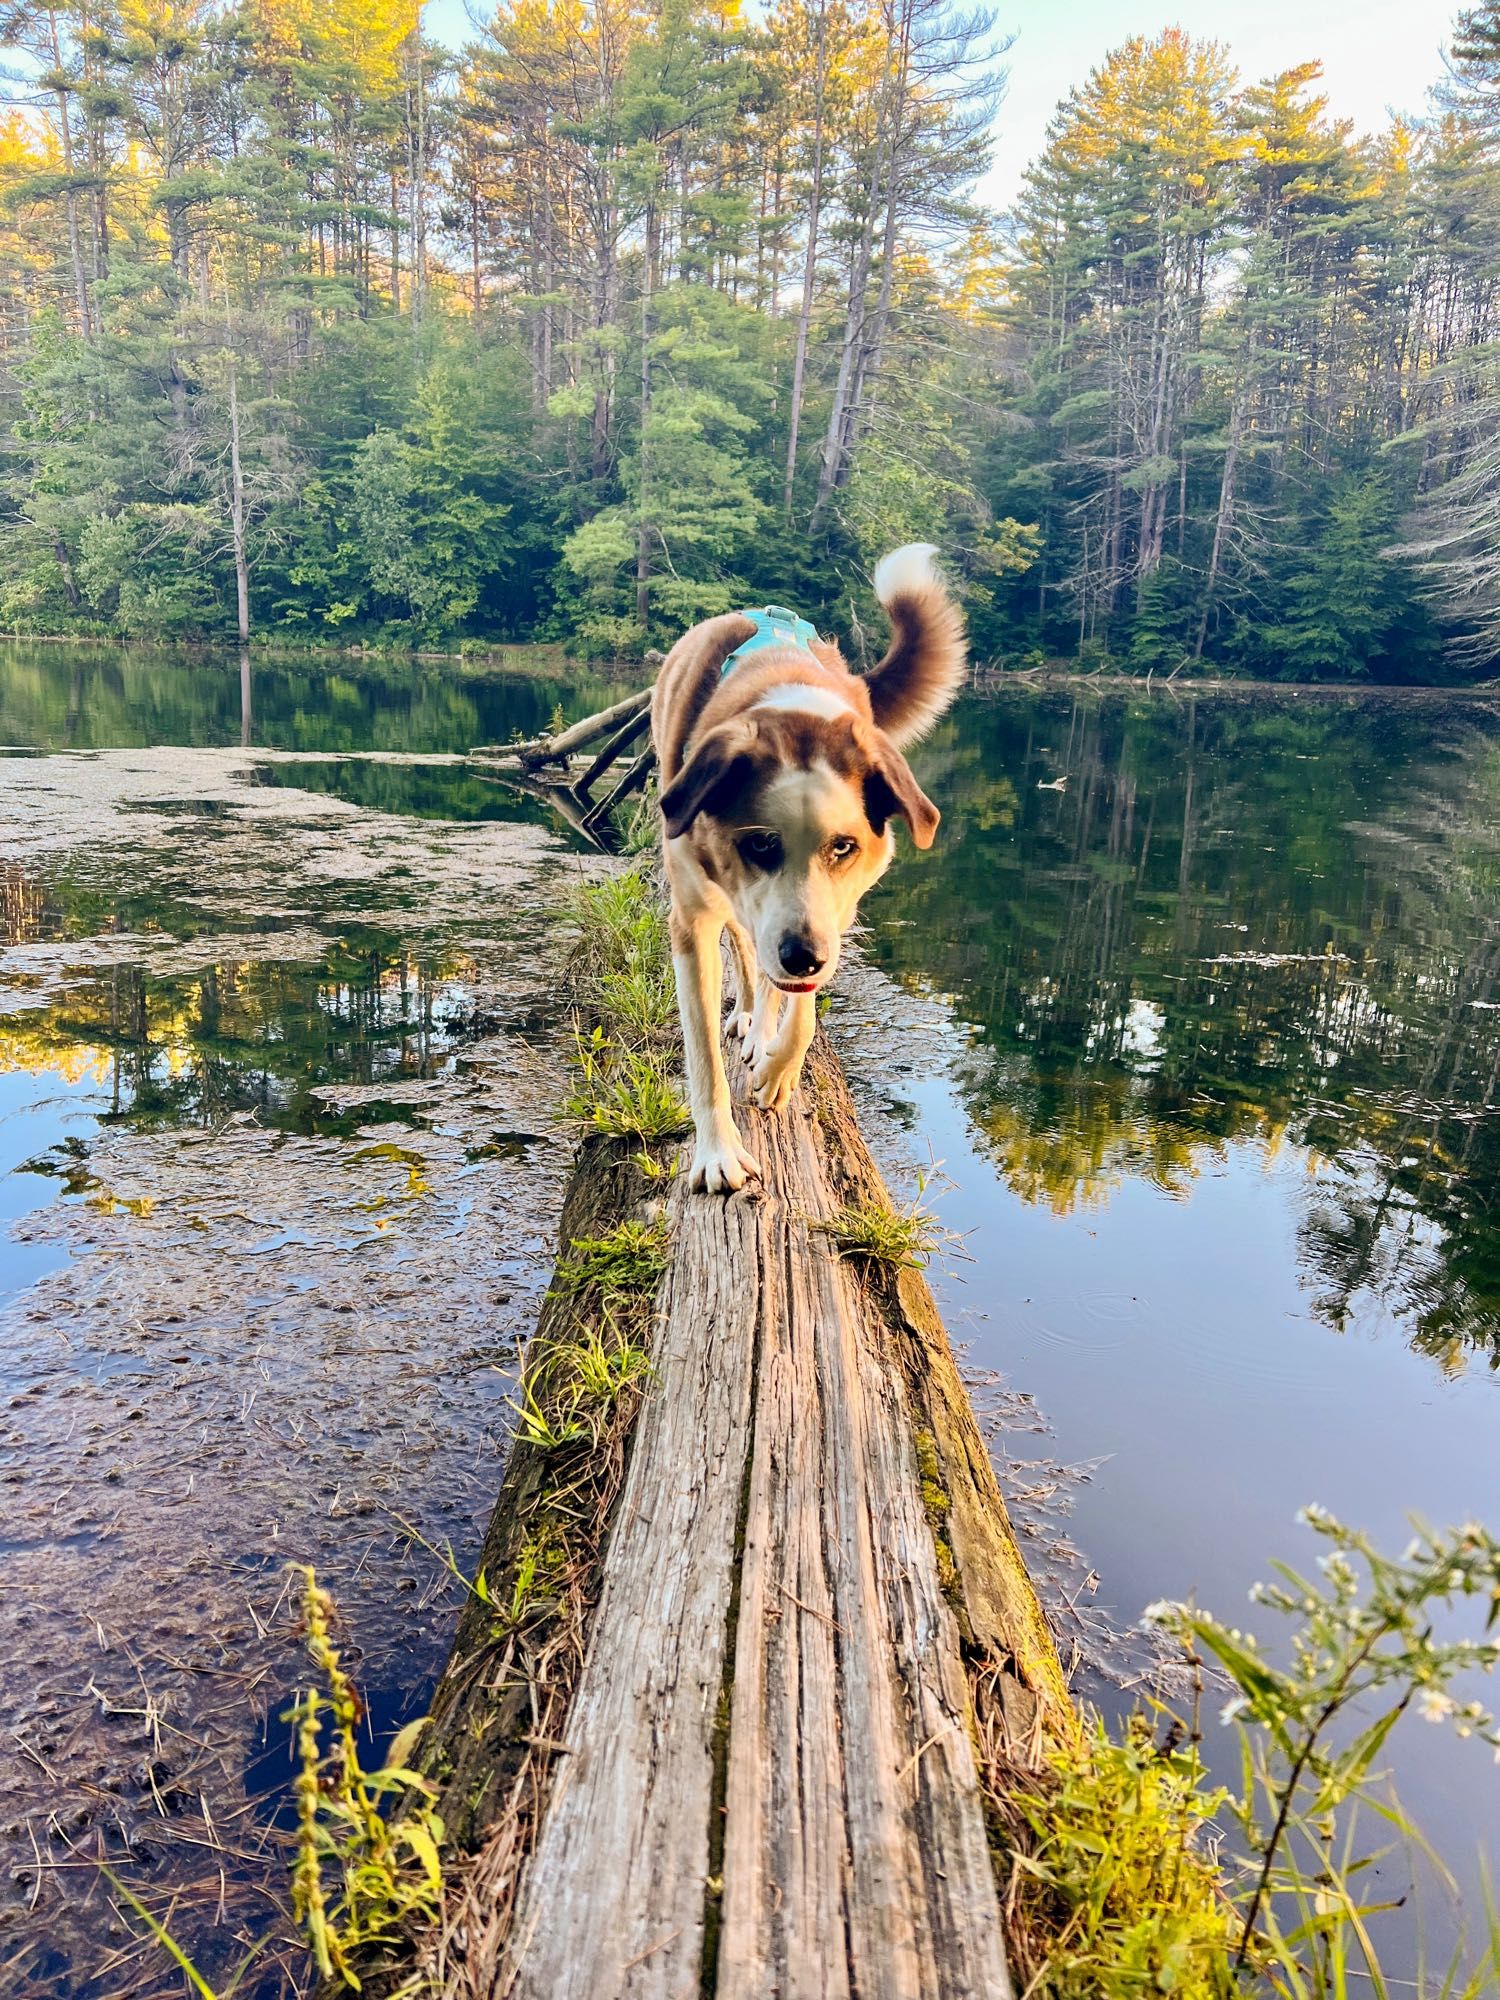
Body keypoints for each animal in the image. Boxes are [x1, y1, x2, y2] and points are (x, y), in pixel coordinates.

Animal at [652, 544, 968, 1184]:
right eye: (759, 844)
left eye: (843, 847)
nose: (804, 957)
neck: (787, 696)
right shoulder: (692, 921)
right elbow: (703, 1056)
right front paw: (718, 1154)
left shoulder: (833, 913)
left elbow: (803, 1009)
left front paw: (778, 1065)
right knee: (745, 946)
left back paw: (762, 1029)